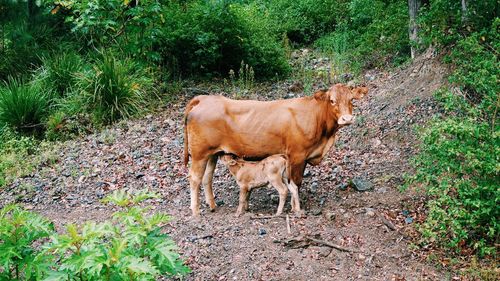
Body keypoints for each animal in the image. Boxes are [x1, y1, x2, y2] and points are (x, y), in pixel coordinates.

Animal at [184, 83, 368, 217]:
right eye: (332, 100)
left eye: (351, 100)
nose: (347, 118)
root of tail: (204, 99)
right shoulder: (297, 155)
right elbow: (295, 182)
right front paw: (295, 208)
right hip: (199, 153)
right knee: (195, 178)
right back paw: (195, 210)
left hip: (213, 153)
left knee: (207, 177)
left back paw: (212, 205)